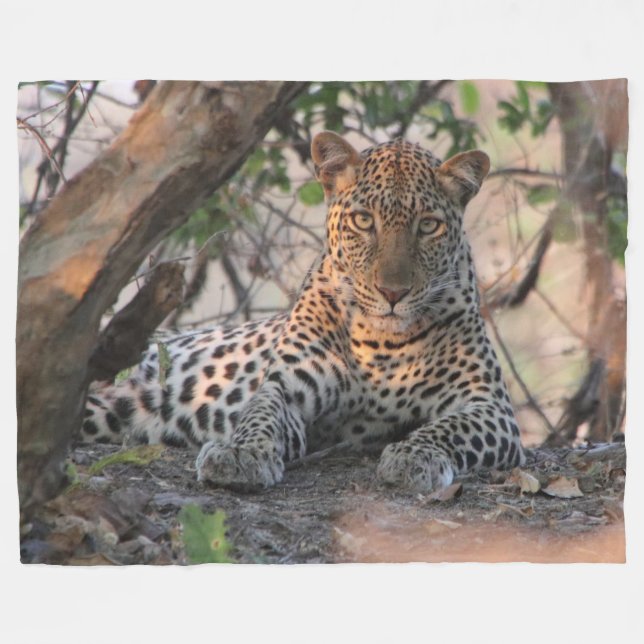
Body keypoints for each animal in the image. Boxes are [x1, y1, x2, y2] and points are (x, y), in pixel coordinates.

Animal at [82, 131, 525, 492]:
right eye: (364, 221)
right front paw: (240, 455)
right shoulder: (286, 388)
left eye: (429, 226)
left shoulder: (490, 405)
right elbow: (261, 415)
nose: (392, 292)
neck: (381, 342)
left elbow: (450, 428)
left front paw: (414, 456)